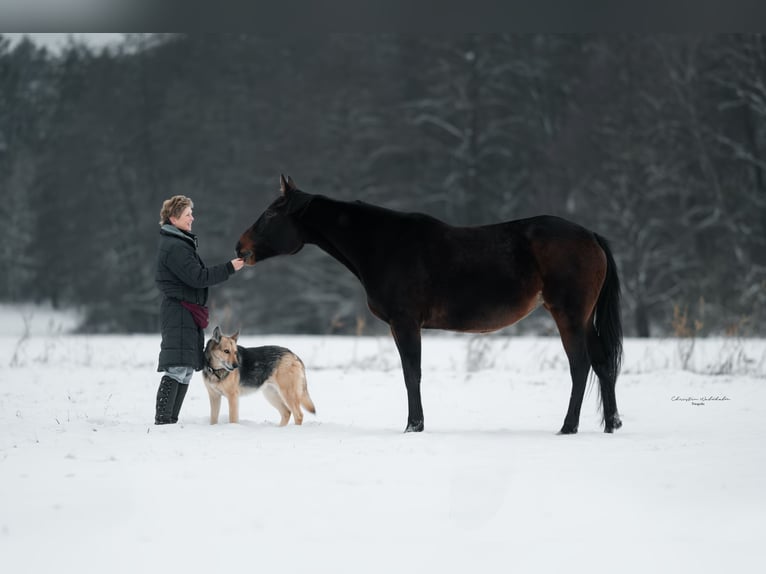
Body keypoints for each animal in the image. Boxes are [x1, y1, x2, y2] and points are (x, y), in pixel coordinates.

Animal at [236, 175, 623, 435]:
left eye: (270, 216)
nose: (241, 247)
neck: (382, 244)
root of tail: (591, 236)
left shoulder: (405, 323)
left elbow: (412, 374)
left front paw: (414, 425)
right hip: (584, 319)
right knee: (603, 364)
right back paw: (611, 424)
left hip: (569, 316)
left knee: (580, 366)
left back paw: (568, 427)